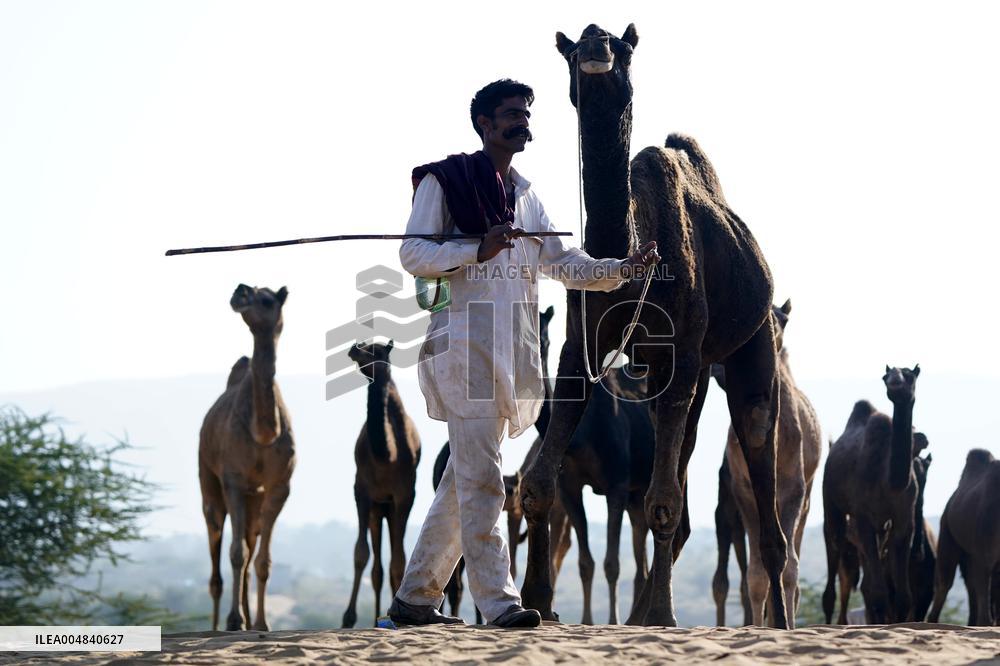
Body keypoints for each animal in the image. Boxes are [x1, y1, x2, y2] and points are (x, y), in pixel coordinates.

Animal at [198, 283, 295, 631]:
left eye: (267, 299)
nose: (239, 292)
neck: (263, 432)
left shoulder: (280, 486)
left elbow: (262, 560)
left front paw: (262, 624)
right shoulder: (233, 481)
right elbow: (236, 553)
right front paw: (233, 621)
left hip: (255, 499)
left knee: (251, 544)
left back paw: (247, 619)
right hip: (208, 479)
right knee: (216, 535)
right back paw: (219, 624)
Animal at [341, 340, 421, 628]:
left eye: (378, 351)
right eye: (365, 345)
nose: (354, 348)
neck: (387, 455)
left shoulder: (405, 494)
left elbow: (400, 560)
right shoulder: (361, 491)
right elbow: (360, 554)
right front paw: (348, 618)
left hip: (391, 508)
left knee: (391, 562)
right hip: (378, 509)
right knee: (376, 569)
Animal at [520, 23, 787, 627]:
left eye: (623, 48)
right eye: (572, 49)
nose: (597, 46)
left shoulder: (681, 349)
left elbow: (662, 502)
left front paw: (665, 613)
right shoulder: (579, 348)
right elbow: (539, 483)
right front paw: (536, 602)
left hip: (749, 344)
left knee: (760, 461)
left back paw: (776, 623)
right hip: (693, 377)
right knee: (684, 470)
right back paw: (639, 615)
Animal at [712, 300, 821, 627]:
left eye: (783, 319)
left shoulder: (795, 489)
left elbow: (790, 566)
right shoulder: (742, 489)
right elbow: (756, 572)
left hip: (808, 495)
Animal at [822, 365, 922, 624]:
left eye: (910, 375)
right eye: (886, 376)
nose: (894, 380)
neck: (890, 482)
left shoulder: (904, 519)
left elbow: (903, 595)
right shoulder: (864, 516)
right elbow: (878, 591)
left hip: (879, 528)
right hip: (831, 504)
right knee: (835, 547)